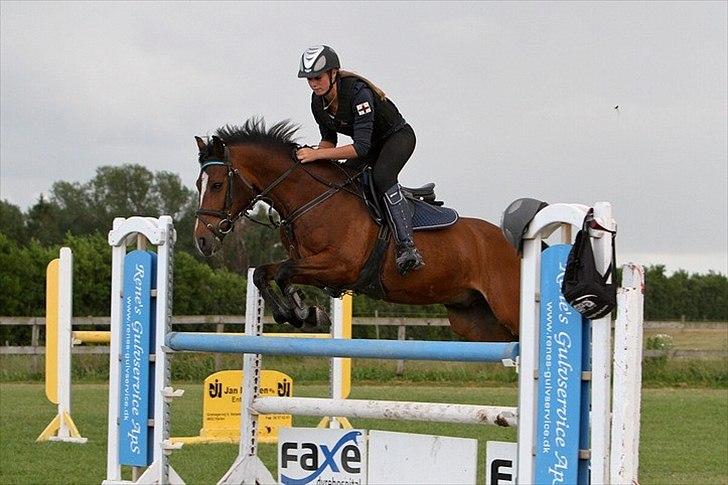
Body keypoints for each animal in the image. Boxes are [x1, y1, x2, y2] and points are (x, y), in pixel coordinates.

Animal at [193, 118, 524, 342]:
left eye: (218, 184)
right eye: (198, 184)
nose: (202, 240)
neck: (311, 198)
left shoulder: (340, 267)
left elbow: (285, 273)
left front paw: (303, 312)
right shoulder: (309, 264)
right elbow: (264, 273)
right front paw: (296, 312)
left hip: (508, 310)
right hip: (476, 320)